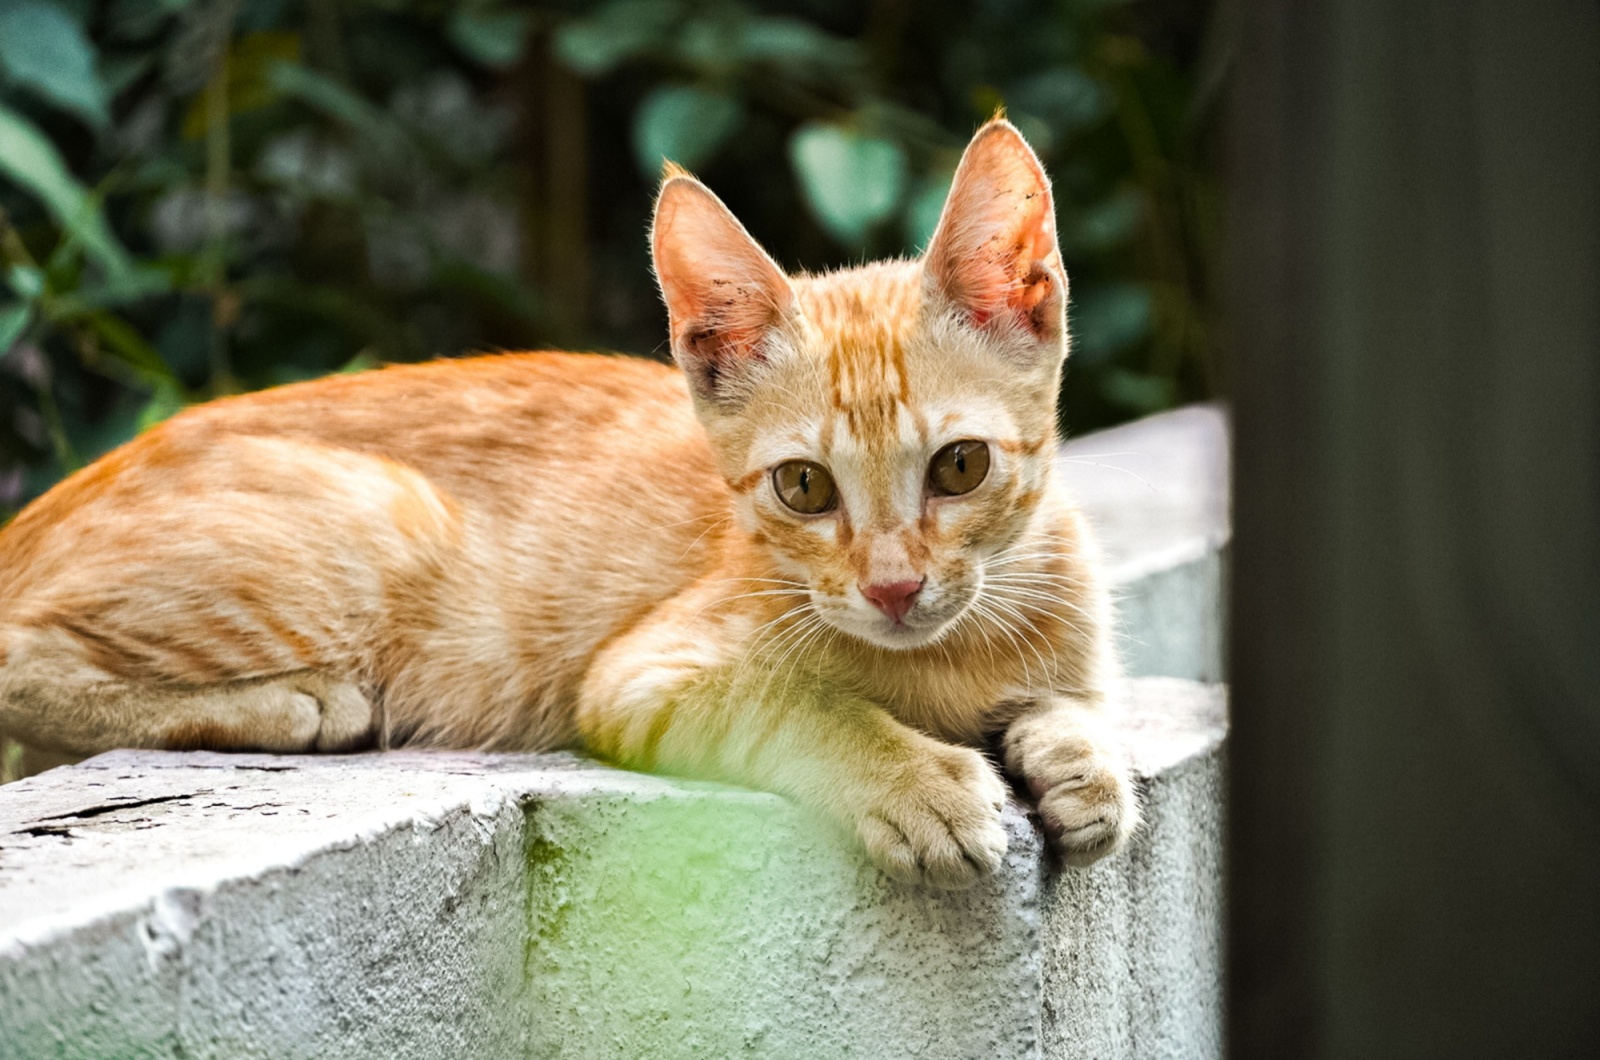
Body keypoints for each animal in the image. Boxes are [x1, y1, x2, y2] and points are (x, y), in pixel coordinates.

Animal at [0, 120, 1139, 890]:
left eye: (959, 467)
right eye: (803, 486)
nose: (894, 589)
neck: (948, 656)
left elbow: (1085, 702)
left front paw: (1085, 766)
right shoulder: (639, 678)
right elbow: (803, 705)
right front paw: (917, 780)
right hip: (384, 520)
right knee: (20, 657)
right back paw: (296, 703)